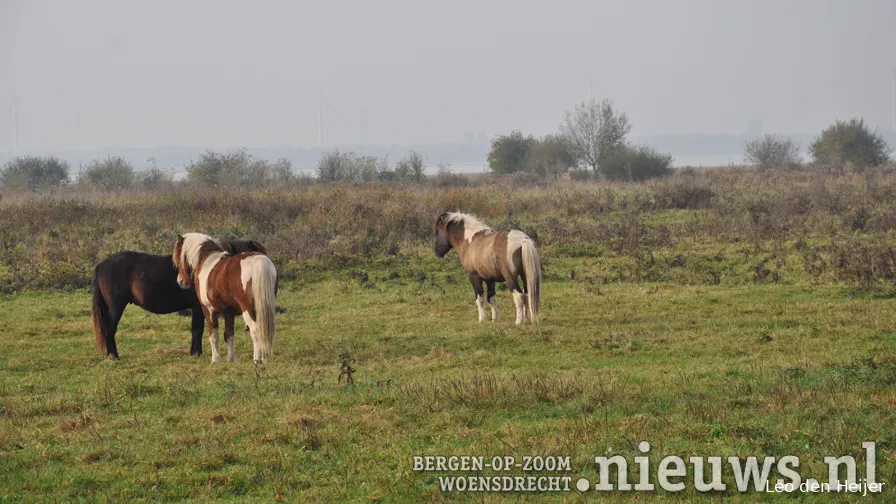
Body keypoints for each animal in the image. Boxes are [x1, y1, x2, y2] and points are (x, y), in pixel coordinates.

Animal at [91, 239, 266, 358]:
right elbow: (197, 329)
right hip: (116, 307)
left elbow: (196, 330)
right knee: (109, 329)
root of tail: (101, 264)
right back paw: (114, 355)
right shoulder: (198, 307)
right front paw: (196, 352)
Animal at [172, 232, 276, 362]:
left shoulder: (208, 310)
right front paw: (231, 360)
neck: (207, 261)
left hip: (248, 311)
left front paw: (215, 360)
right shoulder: (229, 312)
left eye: (178, 257)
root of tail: (258, 260)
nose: (180, 282)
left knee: (256, 331)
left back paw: (257, 359)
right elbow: (229, 335)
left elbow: (214, 335)